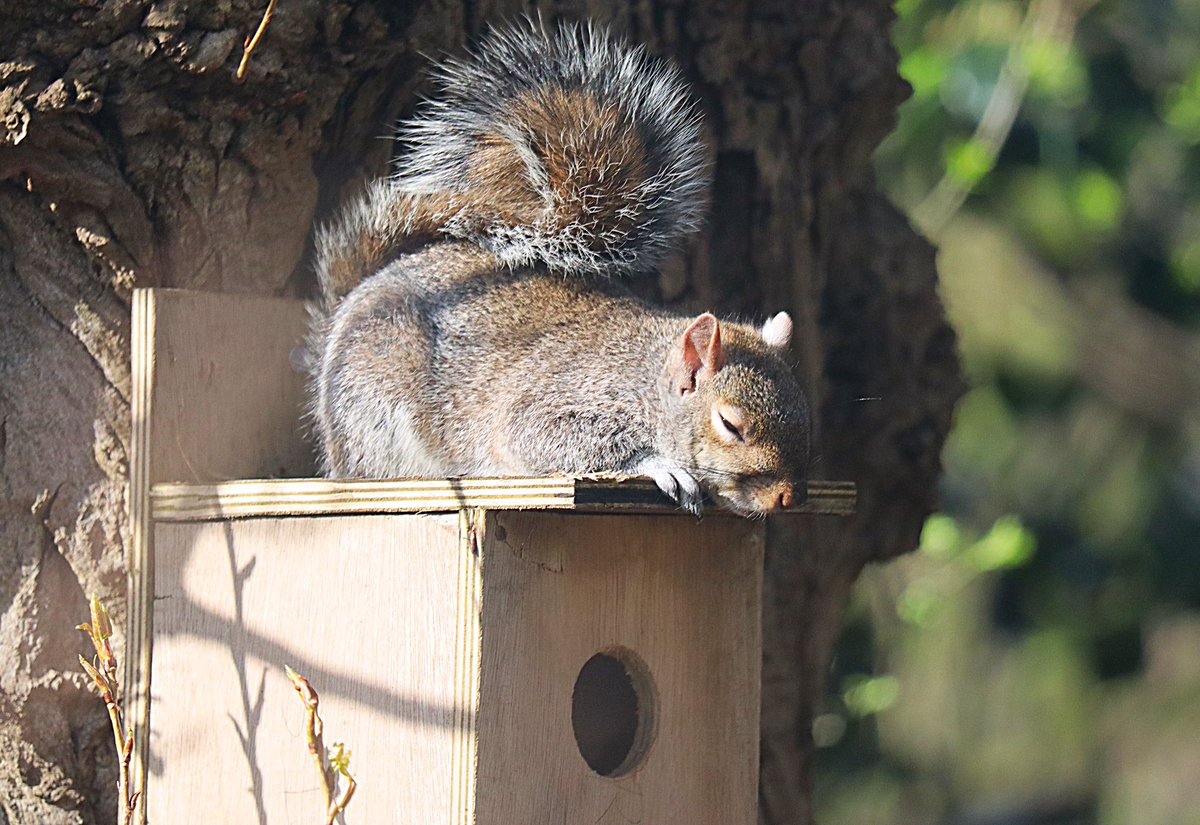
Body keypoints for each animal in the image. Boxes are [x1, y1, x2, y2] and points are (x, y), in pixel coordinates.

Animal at [309, 20, 811, 515]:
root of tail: (354, 298)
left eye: (804, 414)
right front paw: (659, 465)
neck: (646, 381)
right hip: (373, 409)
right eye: (730, 425)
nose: (788, 497)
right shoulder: (555, 402)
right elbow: (542, 438)